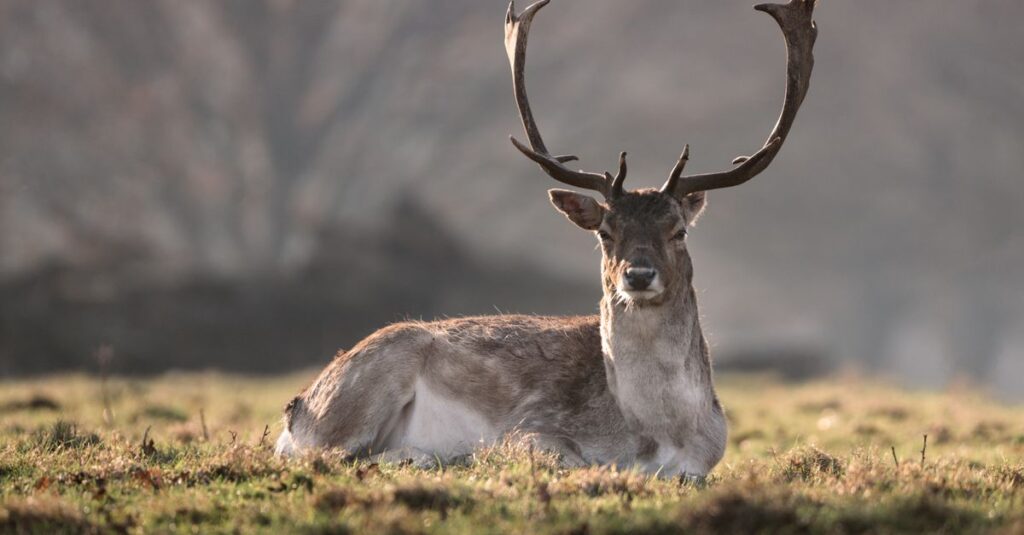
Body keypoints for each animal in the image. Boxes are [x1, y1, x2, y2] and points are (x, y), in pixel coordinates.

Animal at [275, 0, 817, 479]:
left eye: (678, 230)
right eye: (605, 232)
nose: (639, 275)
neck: (658, 434)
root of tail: (296, 408)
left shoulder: (707, 458)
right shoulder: (530, 428)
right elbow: (567, 457)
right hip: (364, 387)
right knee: (332, 455)